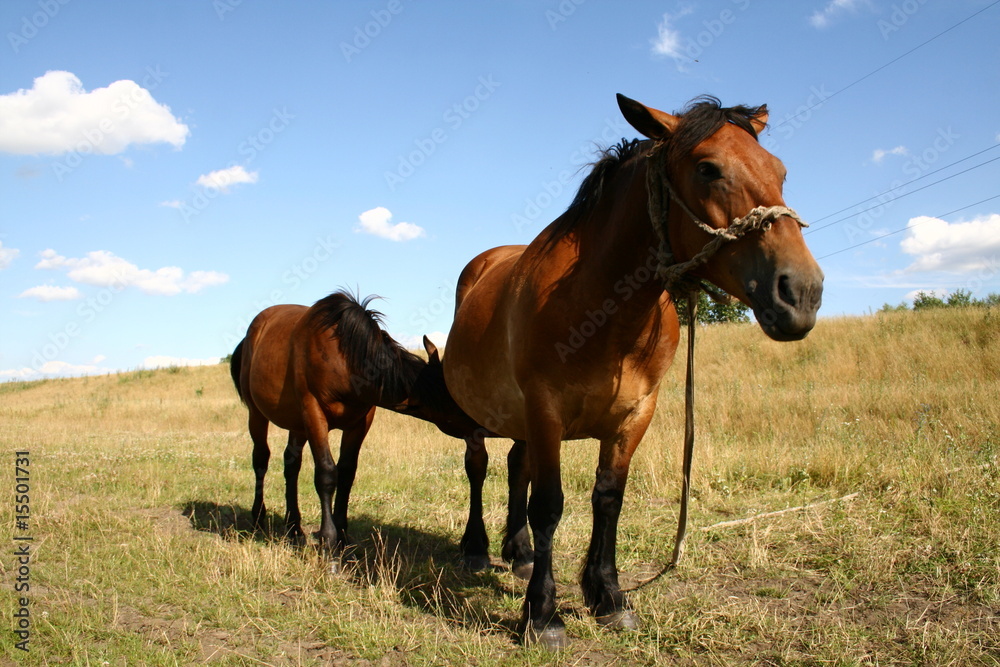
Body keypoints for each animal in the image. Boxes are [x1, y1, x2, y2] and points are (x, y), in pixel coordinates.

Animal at [230, 290, 488, 567]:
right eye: (457, 399)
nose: (483, 425)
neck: (343, 358)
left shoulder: (359, 423)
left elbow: (347, 473)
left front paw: (342, 535)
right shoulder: (314, 414)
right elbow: (326, 474)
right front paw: (329, 541)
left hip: (297, 424)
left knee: (291, 464)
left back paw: (294, 528)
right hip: (258, 414)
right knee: (261, 459)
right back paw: (258, 518)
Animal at [442, 94, 824, 648]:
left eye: (780, 172)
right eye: (707, 168)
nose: (801, 292)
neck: (600, 307)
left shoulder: (634, 414)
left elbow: (608, 500)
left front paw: (608, 597)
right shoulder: (545, 409)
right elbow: (549, 504)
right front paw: (543, 615)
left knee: (517, 467)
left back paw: (520, 553)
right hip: (483, 415)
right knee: (479, 467)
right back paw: (476, 548)